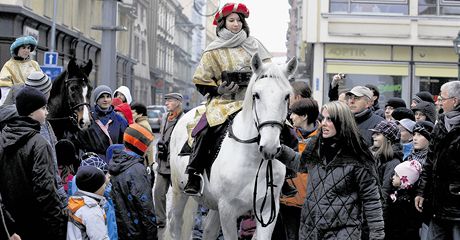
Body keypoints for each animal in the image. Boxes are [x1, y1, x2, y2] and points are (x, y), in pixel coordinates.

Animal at [167, 53, 296, 239]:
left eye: (286, 96)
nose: (270, 147)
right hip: (179, 189)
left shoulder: (267, 210)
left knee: (208, 230)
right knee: (176, 224)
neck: (252, 161)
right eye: (256, 95)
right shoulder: (227, 209)